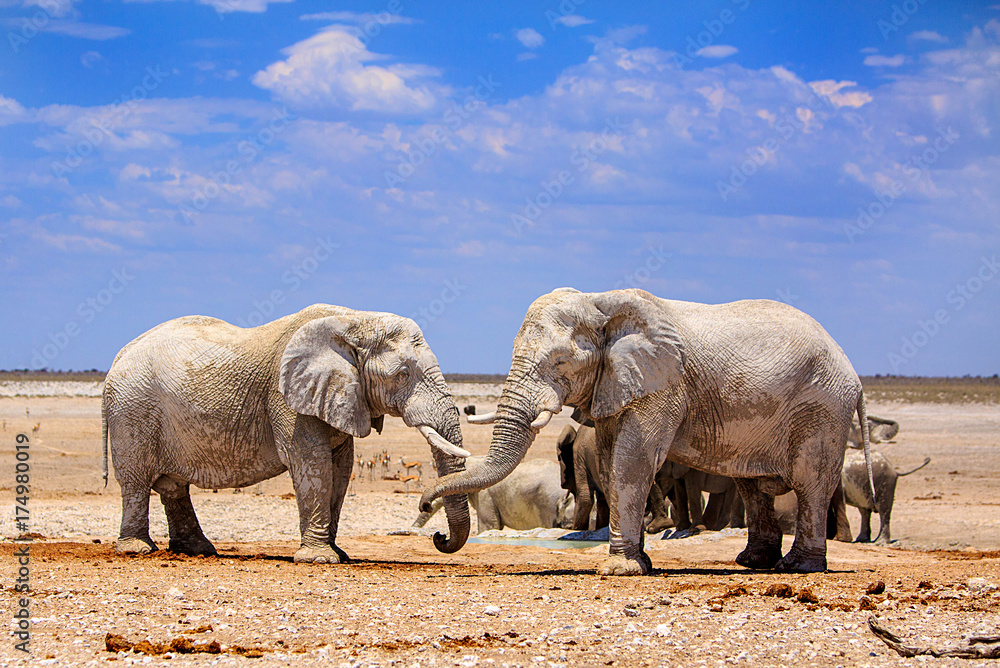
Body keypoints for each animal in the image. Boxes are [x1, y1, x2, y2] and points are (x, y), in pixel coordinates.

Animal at [102, 304, 472, 563]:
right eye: (402, 374)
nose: (438, 536)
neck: (354, 320)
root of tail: (119, 355)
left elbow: (340, 469)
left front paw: (338, 554)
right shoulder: (286, 400)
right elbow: (313, 464)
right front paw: (319, 559)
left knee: (173, 488)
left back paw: (197, 550)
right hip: (132, 410)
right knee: (136, 482)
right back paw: (137, 550)